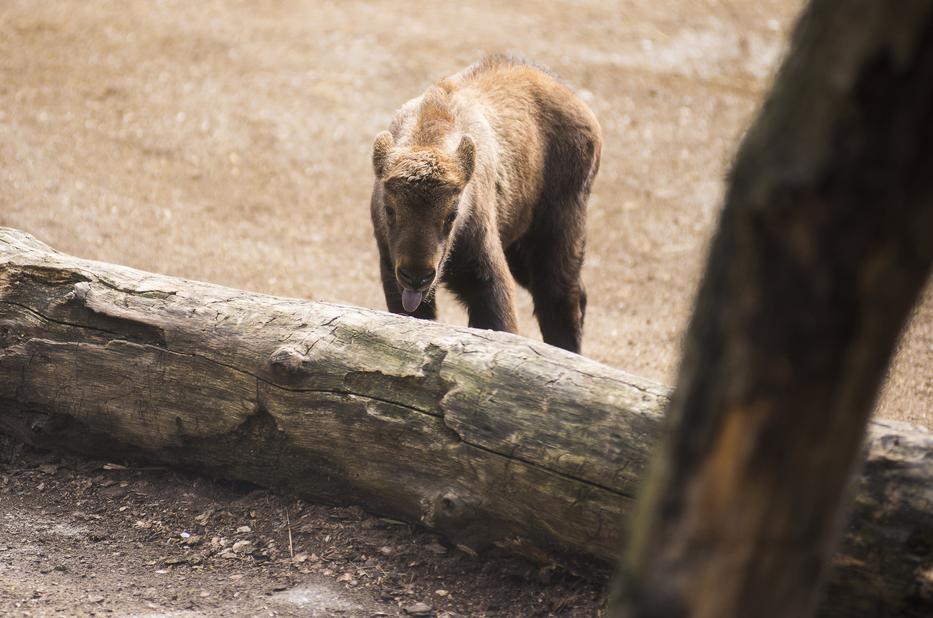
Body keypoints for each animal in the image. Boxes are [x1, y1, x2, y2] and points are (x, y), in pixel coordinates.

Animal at [368, 55, 600, 354]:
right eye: (389, 209)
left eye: (452, 214)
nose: (417, 276)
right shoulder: (391, 271)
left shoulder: (487, 278)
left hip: (557, 234)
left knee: (559, 297)